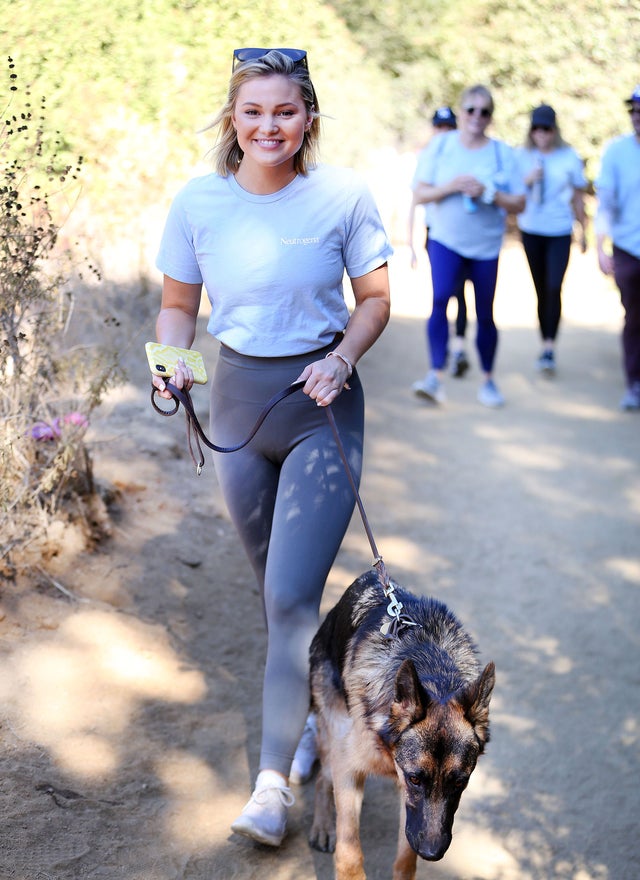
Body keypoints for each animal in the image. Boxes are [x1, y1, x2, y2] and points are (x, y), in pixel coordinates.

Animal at [308, 572, 496, 880]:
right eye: (415, 779)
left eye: (460, 782)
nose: (432, 853)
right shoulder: (350, 770)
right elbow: (350, 851)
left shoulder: (407, 805)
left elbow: (406, 856)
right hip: (333, 734)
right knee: (324, 776)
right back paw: (323, 825)